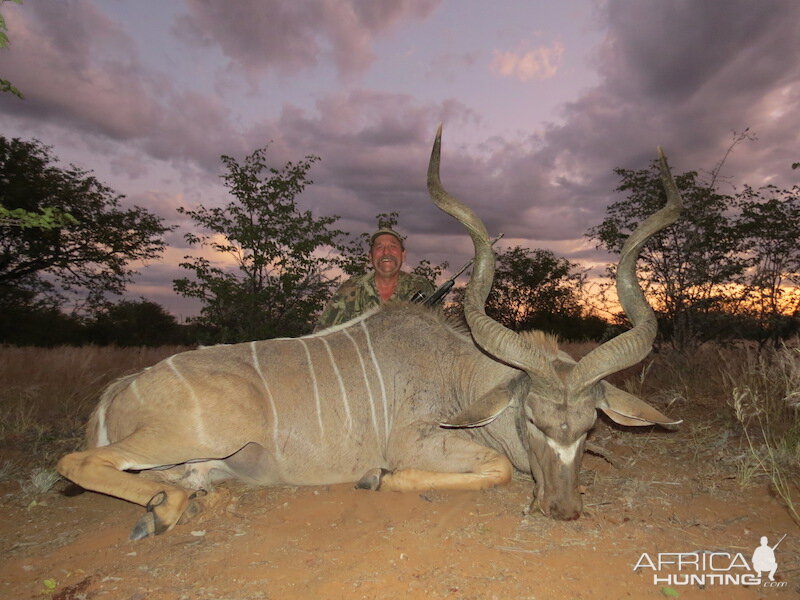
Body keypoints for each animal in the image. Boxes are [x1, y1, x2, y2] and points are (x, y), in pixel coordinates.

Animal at [57, 126, 680, 540]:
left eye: (590, 425)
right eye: (532, 421)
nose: (563, 510)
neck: (459, 372)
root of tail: (121, 389)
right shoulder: (418, 442)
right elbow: (493, 468)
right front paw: (374, 479)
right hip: (199, 435)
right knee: (78, 463)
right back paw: (164, 508)